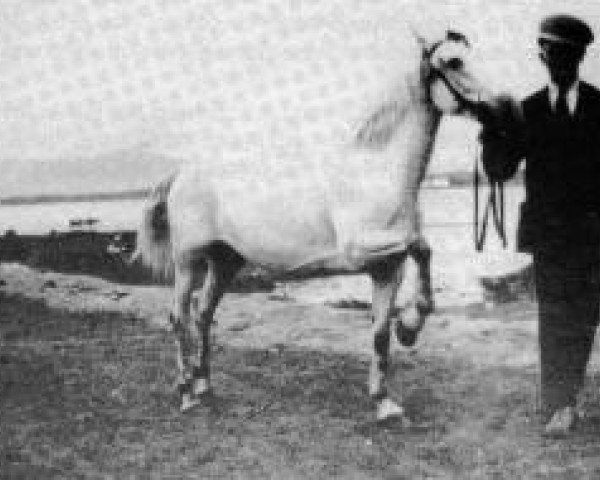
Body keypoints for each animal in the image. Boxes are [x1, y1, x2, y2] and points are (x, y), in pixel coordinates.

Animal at [138, 31, 500, 420]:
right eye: (453, 62)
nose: (501, 107)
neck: (376, 175)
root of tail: (181, 173)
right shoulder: (360, 252)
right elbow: (422, 247)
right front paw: (409, 328)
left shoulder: (388, 270)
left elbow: (380, 333)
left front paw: (385, 399)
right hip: (188, 262)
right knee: (179, 317)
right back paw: (187, 393)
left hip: (225, 262)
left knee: (204, 314)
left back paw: (204, 386)